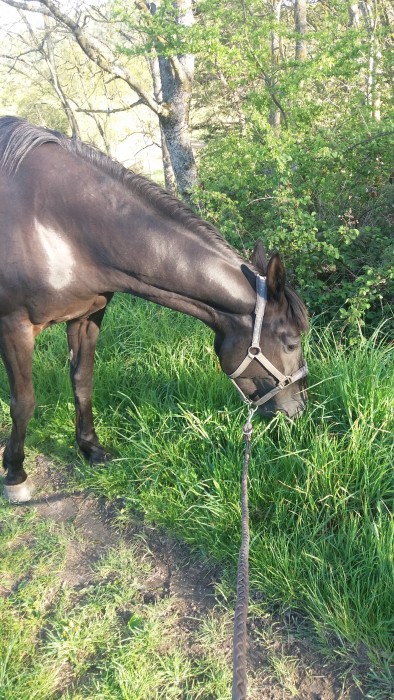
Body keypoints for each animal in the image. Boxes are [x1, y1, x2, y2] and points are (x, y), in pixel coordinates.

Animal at [0, 119, 308, 504]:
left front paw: (91, 449)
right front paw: (15, 474)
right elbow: (23, 402)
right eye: (291, 342)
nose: (300, 409)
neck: (55, 227)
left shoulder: (86, 317)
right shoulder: (15, 326)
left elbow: (82, 381)